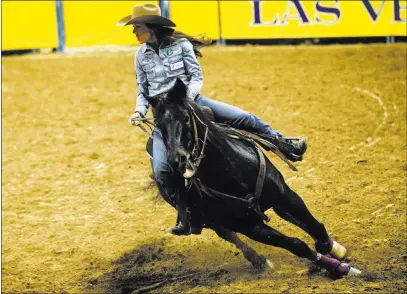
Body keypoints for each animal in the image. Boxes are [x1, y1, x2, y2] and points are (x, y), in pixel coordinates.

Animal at [117, 4, 306, 234]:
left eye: (186, 118)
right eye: (160, 126)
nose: (177, 161)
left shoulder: (285, 197)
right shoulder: (248, 224)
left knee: (248, 119)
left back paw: (293, 147)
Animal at [147, 79, 360, 280]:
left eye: (185, 118)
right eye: (160, 126)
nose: (177, 160)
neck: (232, 172)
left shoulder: (284, 194)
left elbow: (315, 226)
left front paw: (335, 251)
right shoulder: (250, 226)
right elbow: (297, 246)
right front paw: (339, 269)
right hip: (211, 220)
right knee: (228, 235)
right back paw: (259, 261)